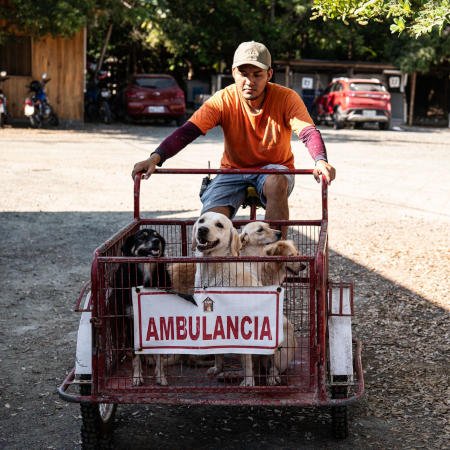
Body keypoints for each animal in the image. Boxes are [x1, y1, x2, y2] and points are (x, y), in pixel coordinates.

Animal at [191, 213, 260, 384]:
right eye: (201, 221)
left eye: (219, 225)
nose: (202, 230)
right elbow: (217, 351)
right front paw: (218, 368)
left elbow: (246, 358)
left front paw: (249, 381)